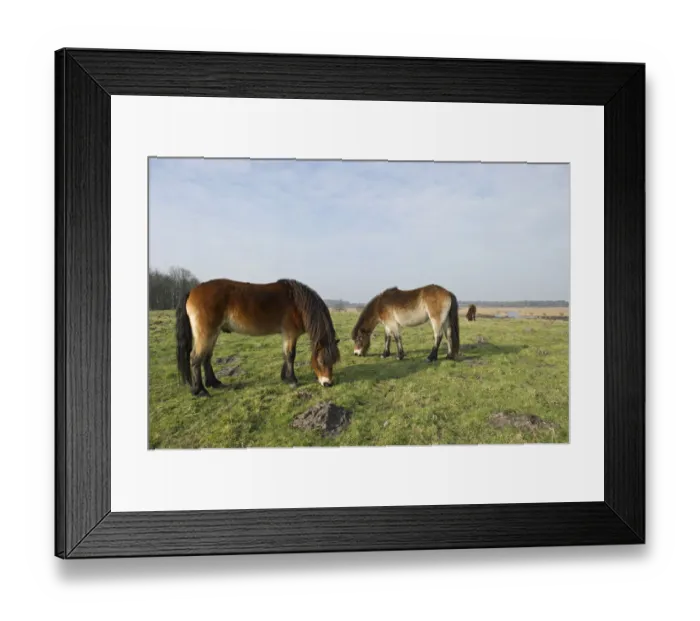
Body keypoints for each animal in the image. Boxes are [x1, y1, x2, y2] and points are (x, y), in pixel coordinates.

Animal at [175, 278, 341, 397]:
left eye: (334, 361)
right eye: (321, 361)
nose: (328, 383)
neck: (297, 303)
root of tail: (192, 291)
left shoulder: (286, 335)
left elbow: (285, 355)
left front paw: (285, 377)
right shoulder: (290, 334)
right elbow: (290, 355)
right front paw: (292, 380)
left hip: (214, 333)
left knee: (207, 357)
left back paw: (214, 383)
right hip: (206, 333)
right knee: (195, 358)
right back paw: (200, 391)